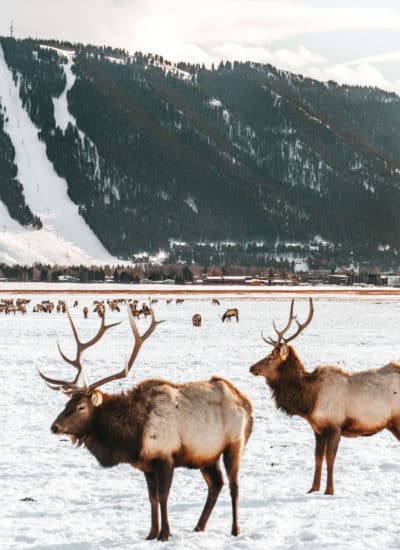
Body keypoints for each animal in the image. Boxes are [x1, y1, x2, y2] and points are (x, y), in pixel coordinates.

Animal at [38, 310, 253, 544]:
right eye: (67, 403)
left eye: (80, 407)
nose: (55, 427)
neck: (132, 437)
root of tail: (246, 403)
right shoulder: (147, 464)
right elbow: (152, 498)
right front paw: (151, 533)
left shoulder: (166, 457)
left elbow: (163, 496)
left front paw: (165, 534)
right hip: (206, 454)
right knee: (216, 484)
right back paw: (199, 527)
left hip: (234, 445)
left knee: (234, 486)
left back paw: (235, 529)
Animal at [250, 300, 400, 498]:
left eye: (270, 357)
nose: (252, 368)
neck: (310, 401)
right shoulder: (318, 429)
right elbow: (317, 457)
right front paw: (313, 488)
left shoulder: (335, 426)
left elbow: (330, 459)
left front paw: (329, 490)